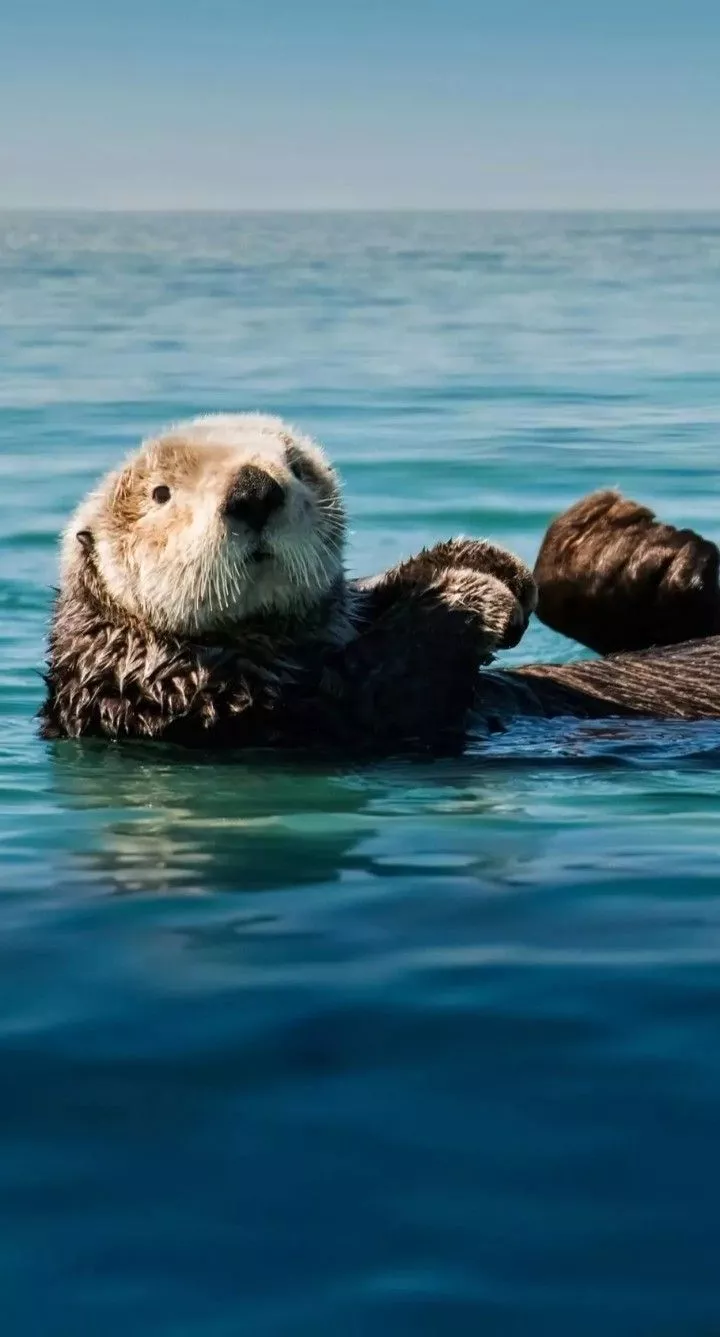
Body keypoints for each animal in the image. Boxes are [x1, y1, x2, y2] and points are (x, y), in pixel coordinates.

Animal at [40, 415, 720, 756]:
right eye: (160, 494)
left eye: (297, 467)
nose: (255, 490)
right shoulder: (232, 709)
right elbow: (394, 675)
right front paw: (477, 595)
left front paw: (485, 561)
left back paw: (616, 538)